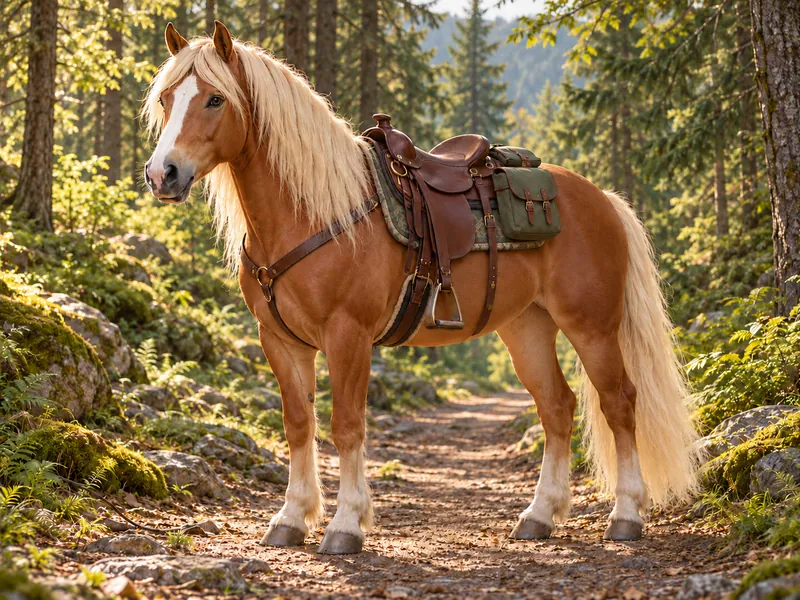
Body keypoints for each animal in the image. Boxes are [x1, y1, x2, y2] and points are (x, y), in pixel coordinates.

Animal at [142, 21, 700, 555]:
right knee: (557, 408)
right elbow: (298, 425)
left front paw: (345, 525)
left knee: (619, 403)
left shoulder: (348, 336)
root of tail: (602, 198)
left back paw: (626, 516)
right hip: (527, 328)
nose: (162, 174)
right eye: (166, 98)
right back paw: (539, 517)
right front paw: (290, 519)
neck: (313, 214)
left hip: (592, 326)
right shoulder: (280, 341)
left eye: (215, 99)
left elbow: (346, 424)